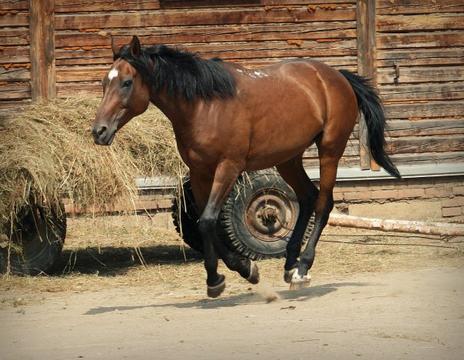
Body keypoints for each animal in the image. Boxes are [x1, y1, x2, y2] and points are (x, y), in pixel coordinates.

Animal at [92, 35, 400, 296]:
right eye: (104, 83)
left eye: (127, 82)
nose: (99, 131)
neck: (205, 106)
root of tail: (336, 76)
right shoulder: (200, 173)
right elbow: (206, 223)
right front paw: (229, 274)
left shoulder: (228, 167)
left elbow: (207, 220)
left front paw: (231, 273)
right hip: (288, 158)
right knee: (307, 197)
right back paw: (289, 265)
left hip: (329, 151)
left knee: (323, 204)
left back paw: (302, 269)